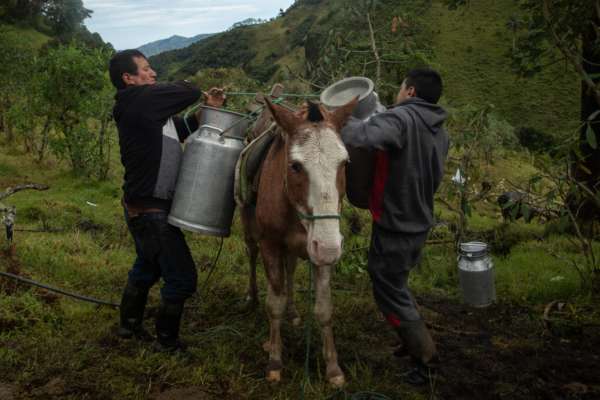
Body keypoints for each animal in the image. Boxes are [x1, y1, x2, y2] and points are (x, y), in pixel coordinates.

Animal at [240, 96, 357, 387]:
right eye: (295, 165)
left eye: (345, 163)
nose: (329, 247)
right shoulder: (271, 245)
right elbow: (274, 305)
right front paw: (274, 360)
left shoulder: (320, 251)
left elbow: (324, 308)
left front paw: (333, 368)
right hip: (249, 227)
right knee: (251, 254)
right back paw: (251, 296)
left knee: (290, 271)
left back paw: (292, 311)